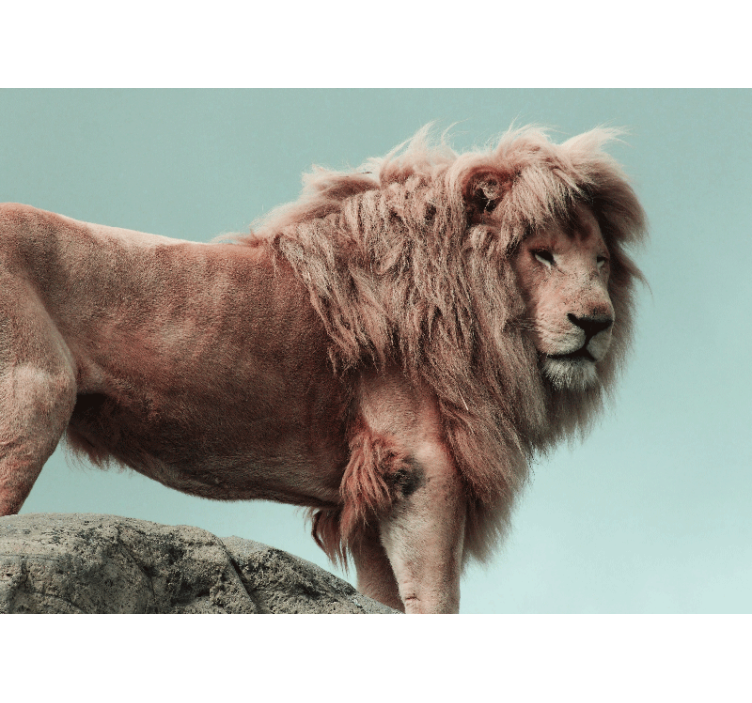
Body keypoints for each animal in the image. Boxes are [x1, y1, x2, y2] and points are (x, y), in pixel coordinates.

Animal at [0, 125, 646, 613]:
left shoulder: (371, 484)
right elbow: (435, 597)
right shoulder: (420, 466)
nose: (597, 322)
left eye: (601, 261)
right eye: (542, 254)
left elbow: (384, 596)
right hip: (36, 395)